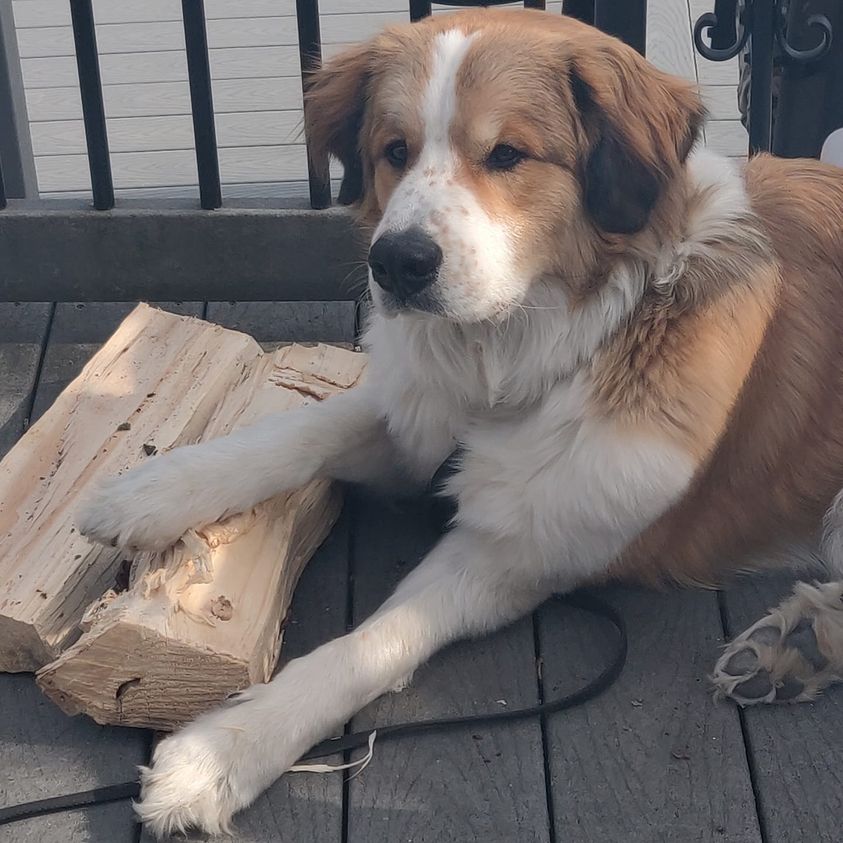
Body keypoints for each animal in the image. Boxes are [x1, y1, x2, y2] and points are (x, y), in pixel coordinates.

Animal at [76, 6, 843, 836]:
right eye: (394, 151)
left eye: (506, 154)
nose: (397, 263)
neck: (529, 353)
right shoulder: (415, 420)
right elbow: (298, 431)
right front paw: (149, 490)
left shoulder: (515, 553)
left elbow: (370, 642)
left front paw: (224, 750)